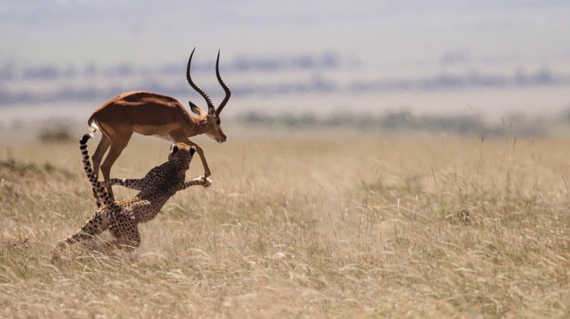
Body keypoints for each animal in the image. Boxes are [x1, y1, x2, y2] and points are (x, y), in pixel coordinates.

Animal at [55, 134, 211, 254]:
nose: (172, 143)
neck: (179, 163)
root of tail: (114, 206)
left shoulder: (145, 183)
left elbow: (123, 180)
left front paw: (204, 181)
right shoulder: (148, 183)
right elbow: (122, 180)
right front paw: (103, 182)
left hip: (112, 233)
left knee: (101, 244)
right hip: (103, 230)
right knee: (68, 242)